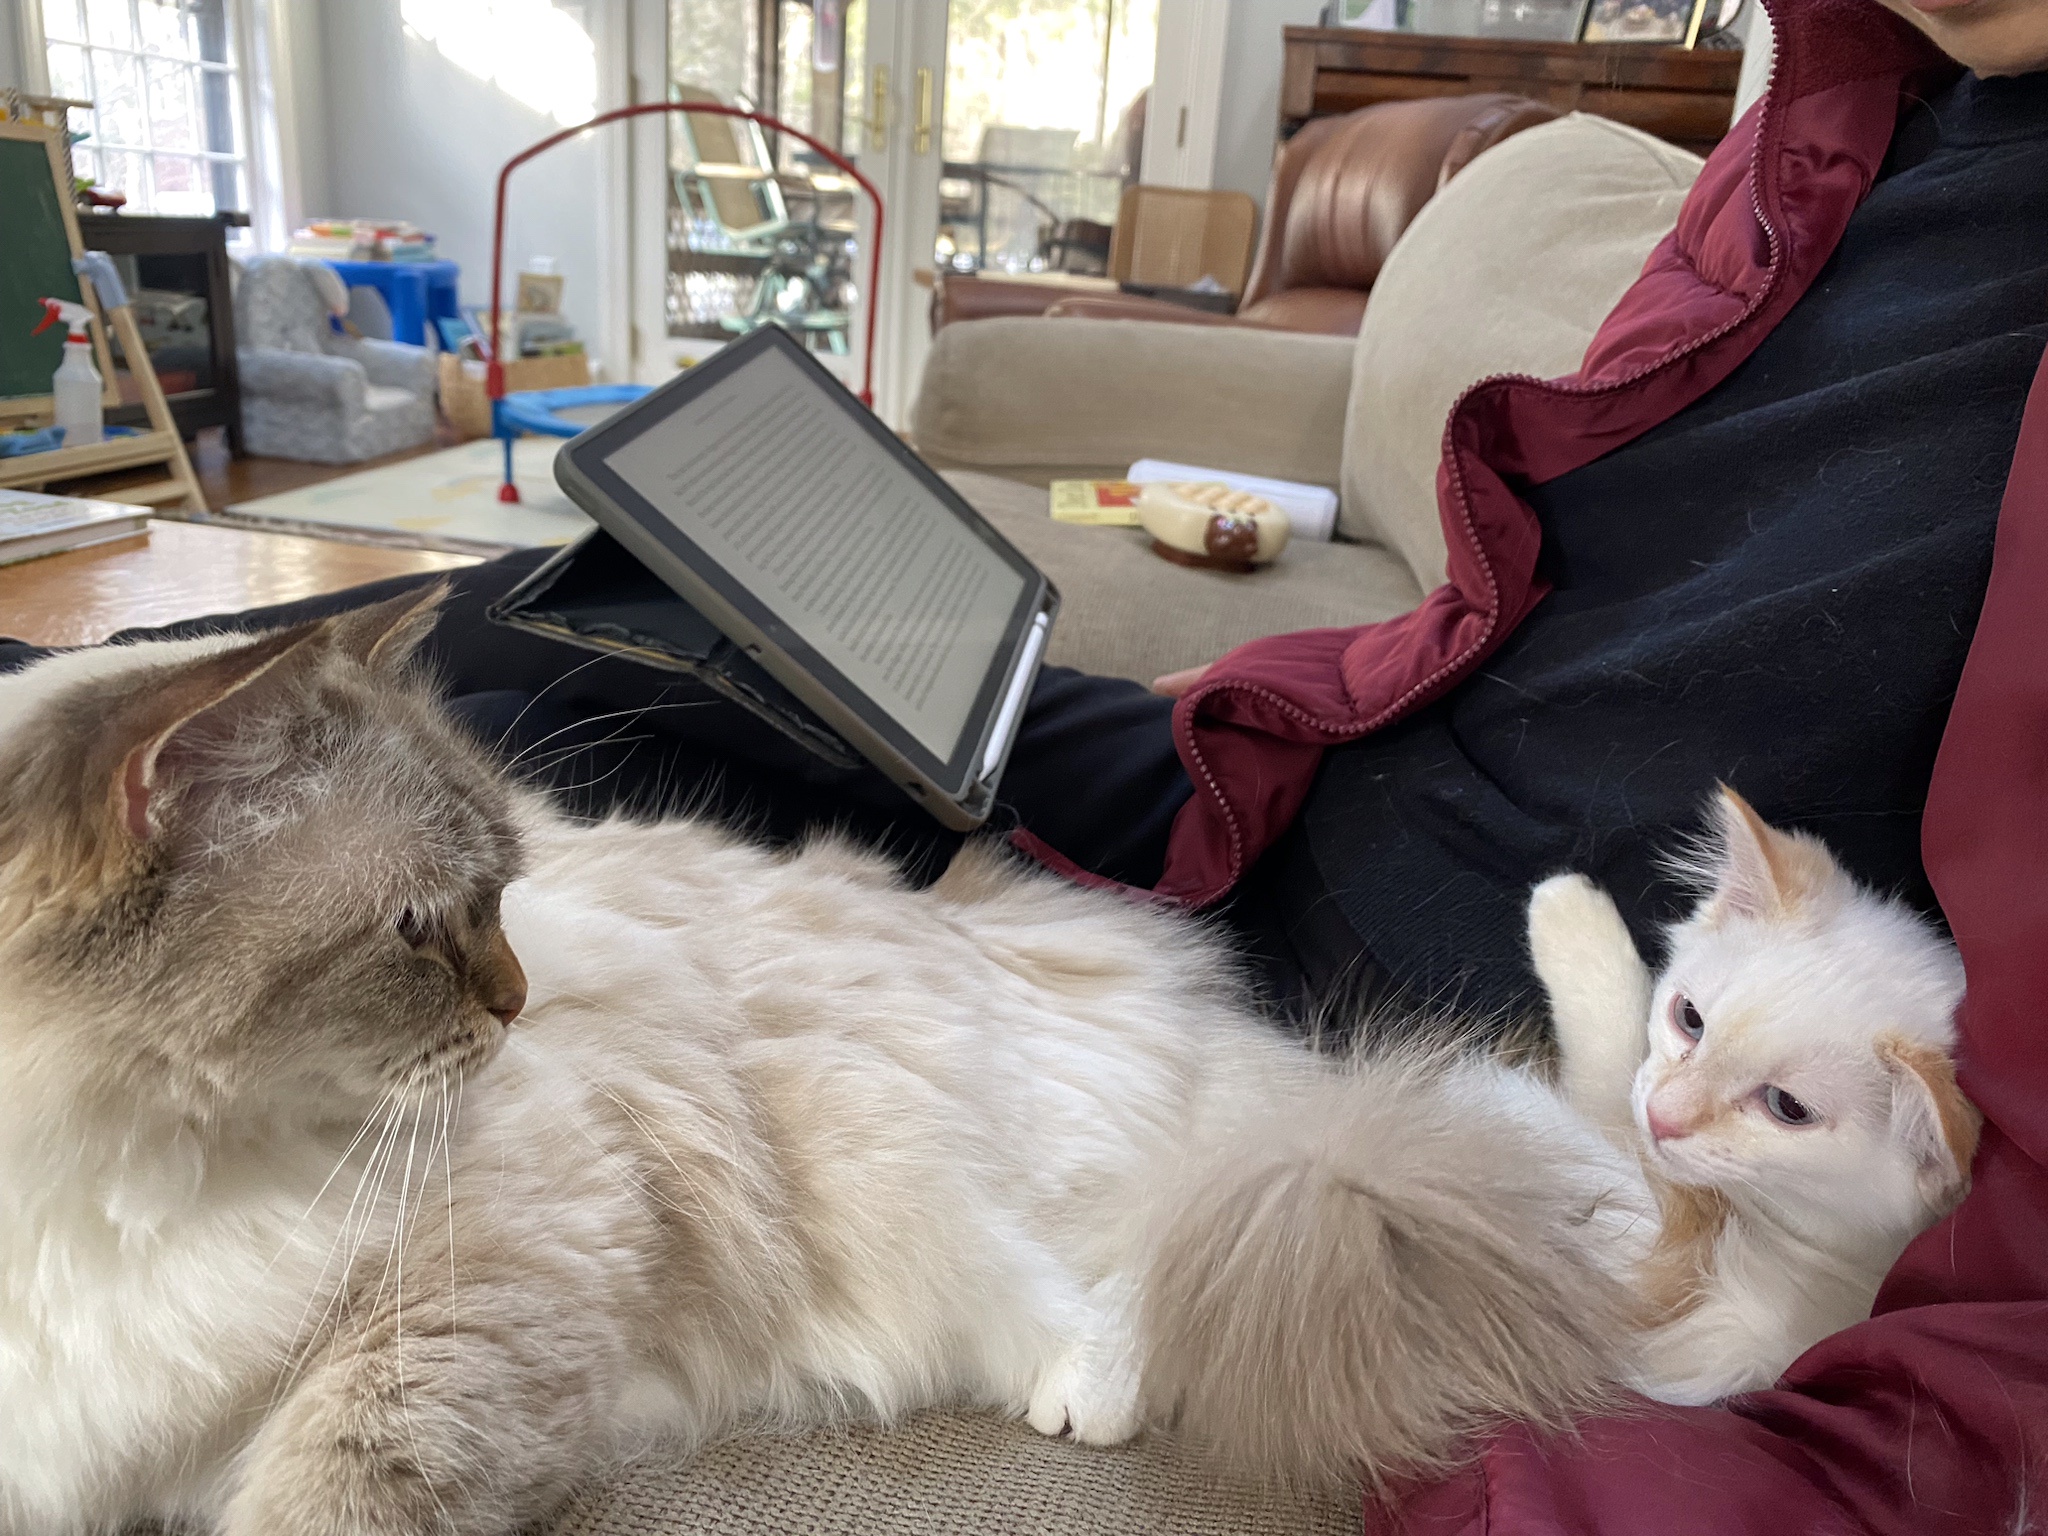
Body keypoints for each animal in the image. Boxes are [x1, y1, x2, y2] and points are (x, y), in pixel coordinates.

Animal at [0, 589, 1646, 1536]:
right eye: (418, 927)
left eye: (502, 893)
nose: (520, 1006)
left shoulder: (485, 1285)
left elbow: (337, 1485)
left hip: (904, 1174)